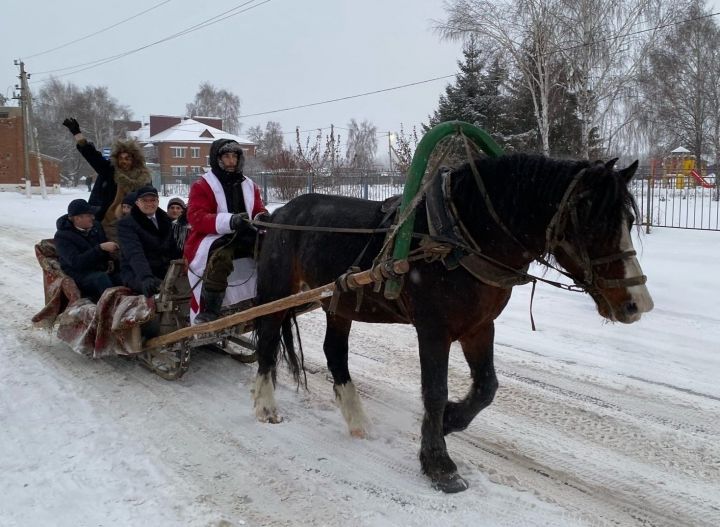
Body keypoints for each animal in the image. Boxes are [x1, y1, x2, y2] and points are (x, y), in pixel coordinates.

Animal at [250, 154, 656, 496]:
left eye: (629, 221)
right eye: (593, 224)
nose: (637, 304)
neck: (458, 239)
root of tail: (281, 212)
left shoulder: (480, 327)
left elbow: (487, 387)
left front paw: (449, 421)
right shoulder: (433, 329)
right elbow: (435, 390)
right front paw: (438, 463)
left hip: (339, 302)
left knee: (334, 352)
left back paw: (357, 420)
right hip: (278, 291)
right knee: (267, 340)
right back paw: (265, 405)